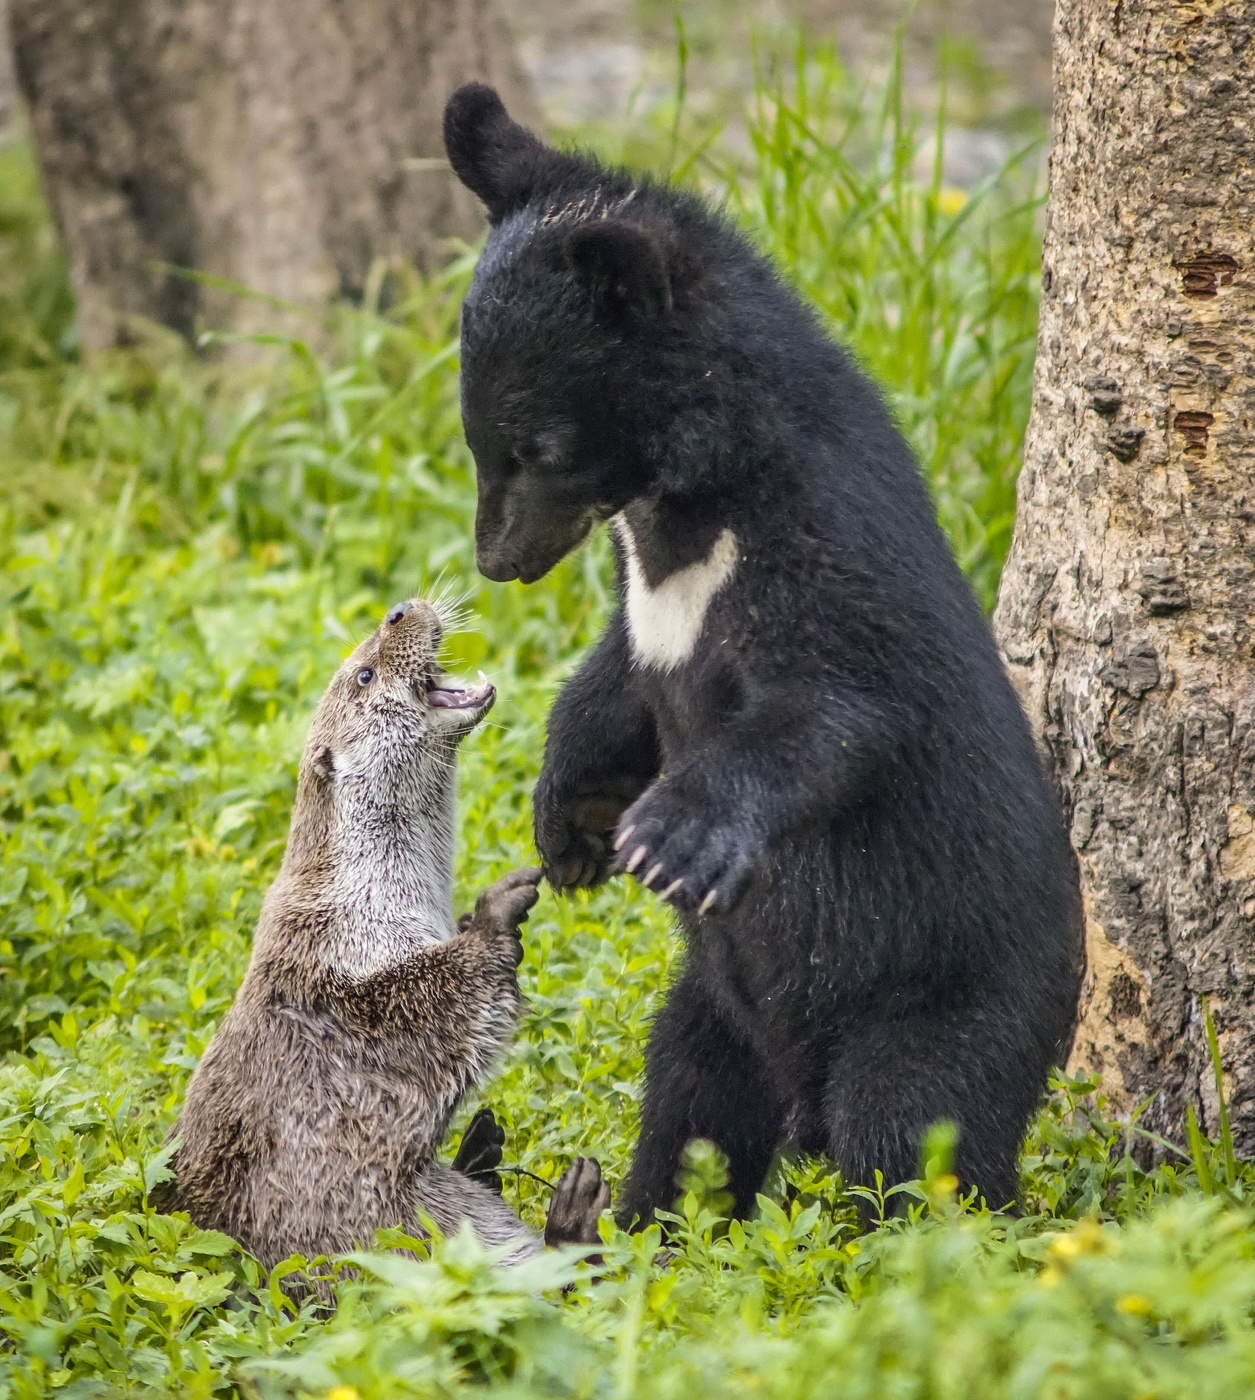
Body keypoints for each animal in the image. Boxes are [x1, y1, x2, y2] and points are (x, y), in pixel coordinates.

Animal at [159, 596, 610, 1276]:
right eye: (365, 674)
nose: (399, 609)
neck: (366, 885)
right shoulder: (340, 971)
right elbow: (424, 1010)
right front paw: (494, 917)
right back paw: (574, 1215)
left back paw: (485, 1153)